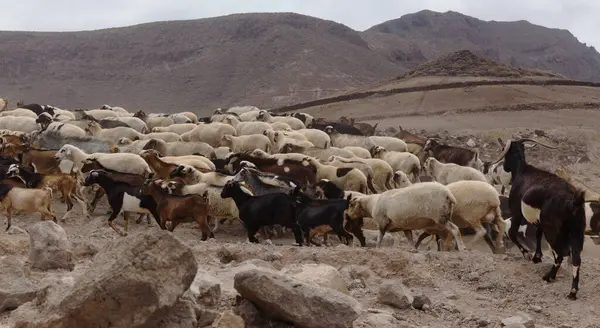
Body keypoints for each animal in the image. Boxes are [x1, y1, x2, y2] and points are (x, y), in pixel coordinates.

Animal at [490, 138, 584, 300]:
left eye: (504, 150)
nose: (505, 167)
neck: (522, 171)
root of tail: (573, 200)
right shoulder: (539, 222)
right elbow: (538, 235)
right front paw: (537, 257)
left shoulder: (517, 212)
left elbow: (513, 232)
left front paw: (527, 254)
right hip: (576, 232)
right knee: (576, 258)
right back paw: (572, 292)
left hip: (553, 230)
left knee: (561, 254)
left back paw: (549, 277)